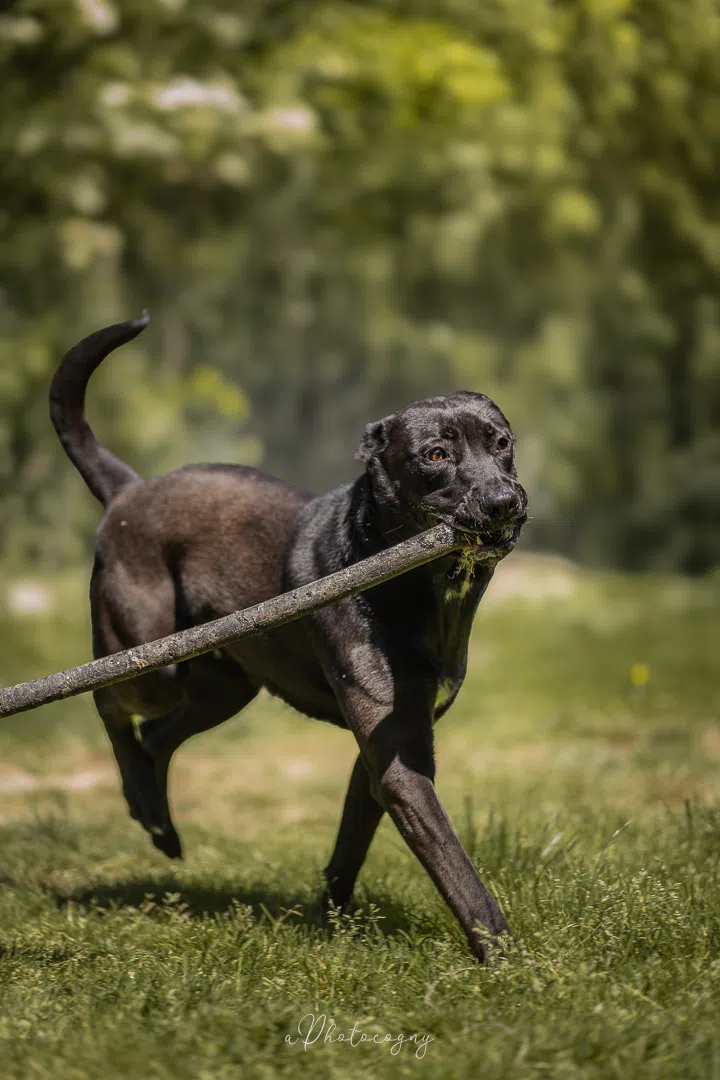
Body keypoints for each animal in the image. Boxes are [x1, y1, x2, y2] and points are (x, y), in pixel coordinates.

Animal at [49, 313, 527, 962]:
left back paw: (156, 819)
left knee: (158, 738)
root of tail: (128, 488)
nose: (504, 502)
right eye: (435, 454)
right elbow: (454, 864)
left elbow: (351, 843)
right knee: (109, 701)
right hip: (153, 664)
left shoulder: (382, 753)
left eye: (501, 443)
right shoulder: (401, 759)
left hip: (223, 688)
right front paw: (505, 956)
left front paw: (332, 921)